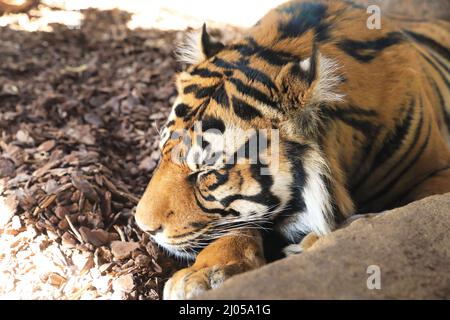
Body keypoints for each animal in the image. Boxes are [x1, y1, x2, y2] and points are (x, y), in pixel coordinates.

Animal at [135, 0, 450, 300]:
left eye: (208, 173)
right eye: (162, 152)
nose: (143, 227)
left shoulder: (437, 173)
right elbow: (236, 223)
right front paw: (201, 275)